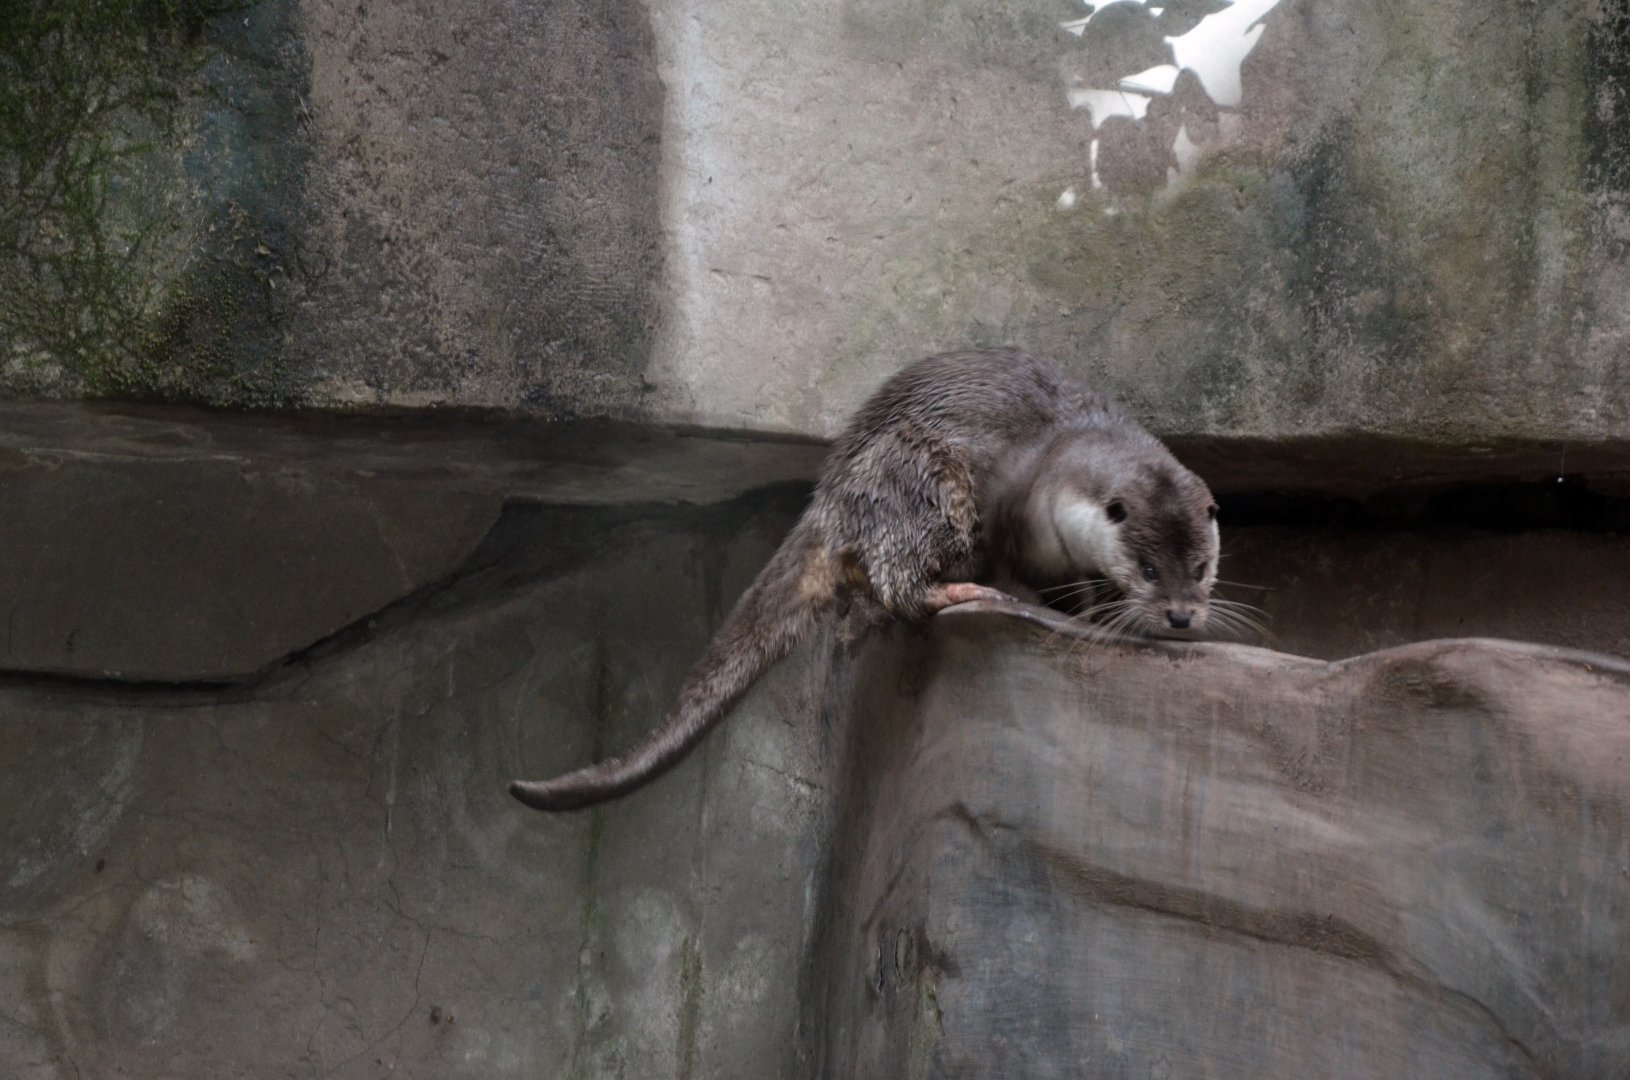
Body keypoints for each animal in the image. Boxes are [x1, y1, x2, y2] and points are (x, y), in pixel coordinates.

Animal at [510, 348, 1219, 812]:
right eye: (1147, 567)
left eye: (1202, 568)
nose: (1182, 615)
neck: (1054, 465)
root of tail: (832, 492)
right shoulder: (1009, 512)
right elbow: (1016, 568)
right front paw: (1046, 601)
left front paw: (1098, 607)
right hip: (918, 478)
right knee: (899, 576)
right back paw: (956, 591)